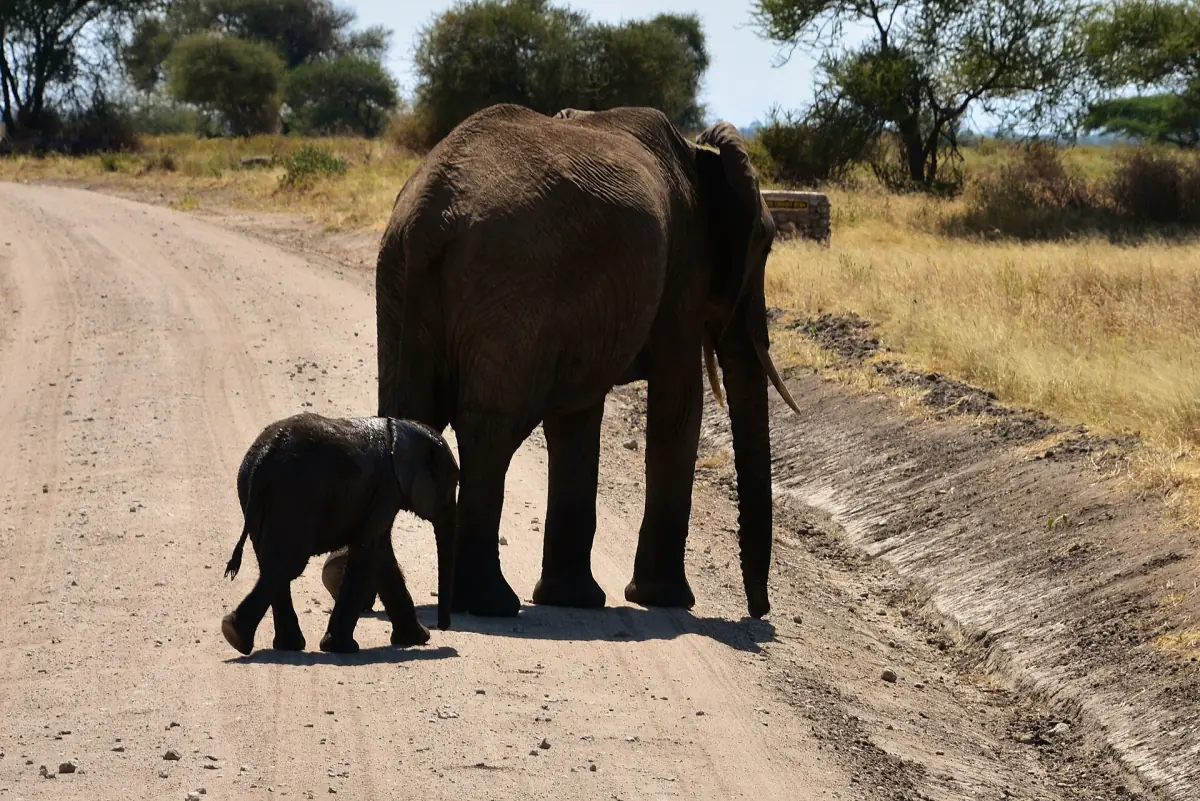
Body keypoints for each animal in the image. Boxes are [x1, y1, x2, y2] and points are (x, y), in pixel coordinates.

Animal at [219, 412, 459, 655]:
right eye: (452, 485)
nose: (442, 627)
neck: (401, 429)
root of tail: (263, 457)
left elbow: (382, 556)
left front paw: (417, 638)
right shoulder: (386, 490)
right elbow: (368, 553)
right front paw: (342, 648)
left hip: (254, 492)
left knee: (273, 564)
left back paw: (267, 642)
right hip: (294, 494)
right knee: (286, 565)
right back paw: (237, 636)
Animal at [353, 102, 801, 622]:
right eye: (766, 245)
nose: (758, 612)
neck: (699, 156)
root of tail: (430, 212)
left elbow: (576, 419)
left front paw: (573, 599)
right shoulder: (680, 277)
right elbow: (678, 408)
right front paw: (665, 601)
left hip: (400, 276)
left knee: (405, 419)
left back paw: (360, 592)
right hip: (512, 286)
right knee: (490, 429)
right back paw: (489, 604)